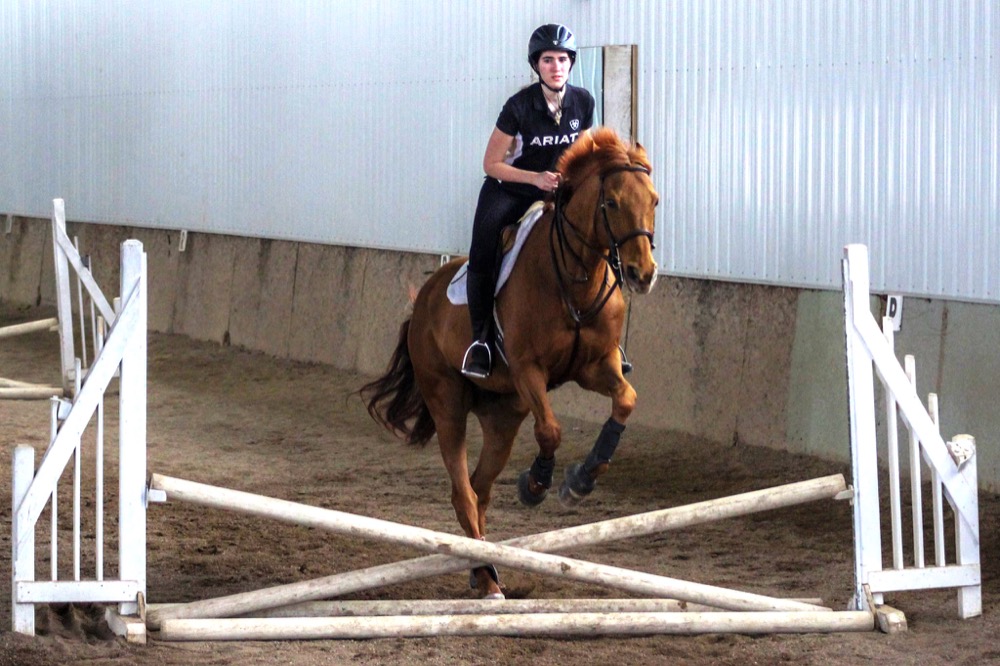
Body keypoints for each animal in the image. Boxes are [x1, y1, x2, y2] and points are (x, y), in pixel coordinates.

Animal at [364, 126, 660, 596]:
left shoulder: (596, 366)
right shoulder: (528, 371)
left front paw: (582, 480)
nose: (642, 274)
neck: (574, 277)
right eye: (611, 202)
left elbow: (625, 401)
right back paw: (488, 578)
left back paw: (483, 570)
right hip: (448, 404)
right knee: (464, 492)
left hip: (502, 416)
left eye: (654, 200)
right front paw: (536, 485)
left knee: (480, 489)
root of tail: (424, 299)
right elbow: (551, 430)